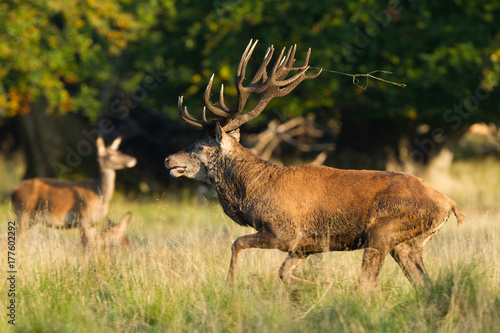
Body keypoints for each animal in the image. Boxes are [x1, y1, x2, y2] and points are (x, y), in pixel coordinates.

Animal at [165, 39, 464, 288]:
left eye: (200, 146)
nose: (168, 158)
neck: (252, 193)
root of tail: (448, 203)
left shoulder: (284, 231)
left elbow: (236, 244)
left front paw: (230, 285)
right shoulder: (305, 245)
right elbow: (283, 273)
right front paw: (315, 288)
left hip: (384, 230)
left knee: (368, 283)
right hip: (409, 244)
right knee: (423, 283)